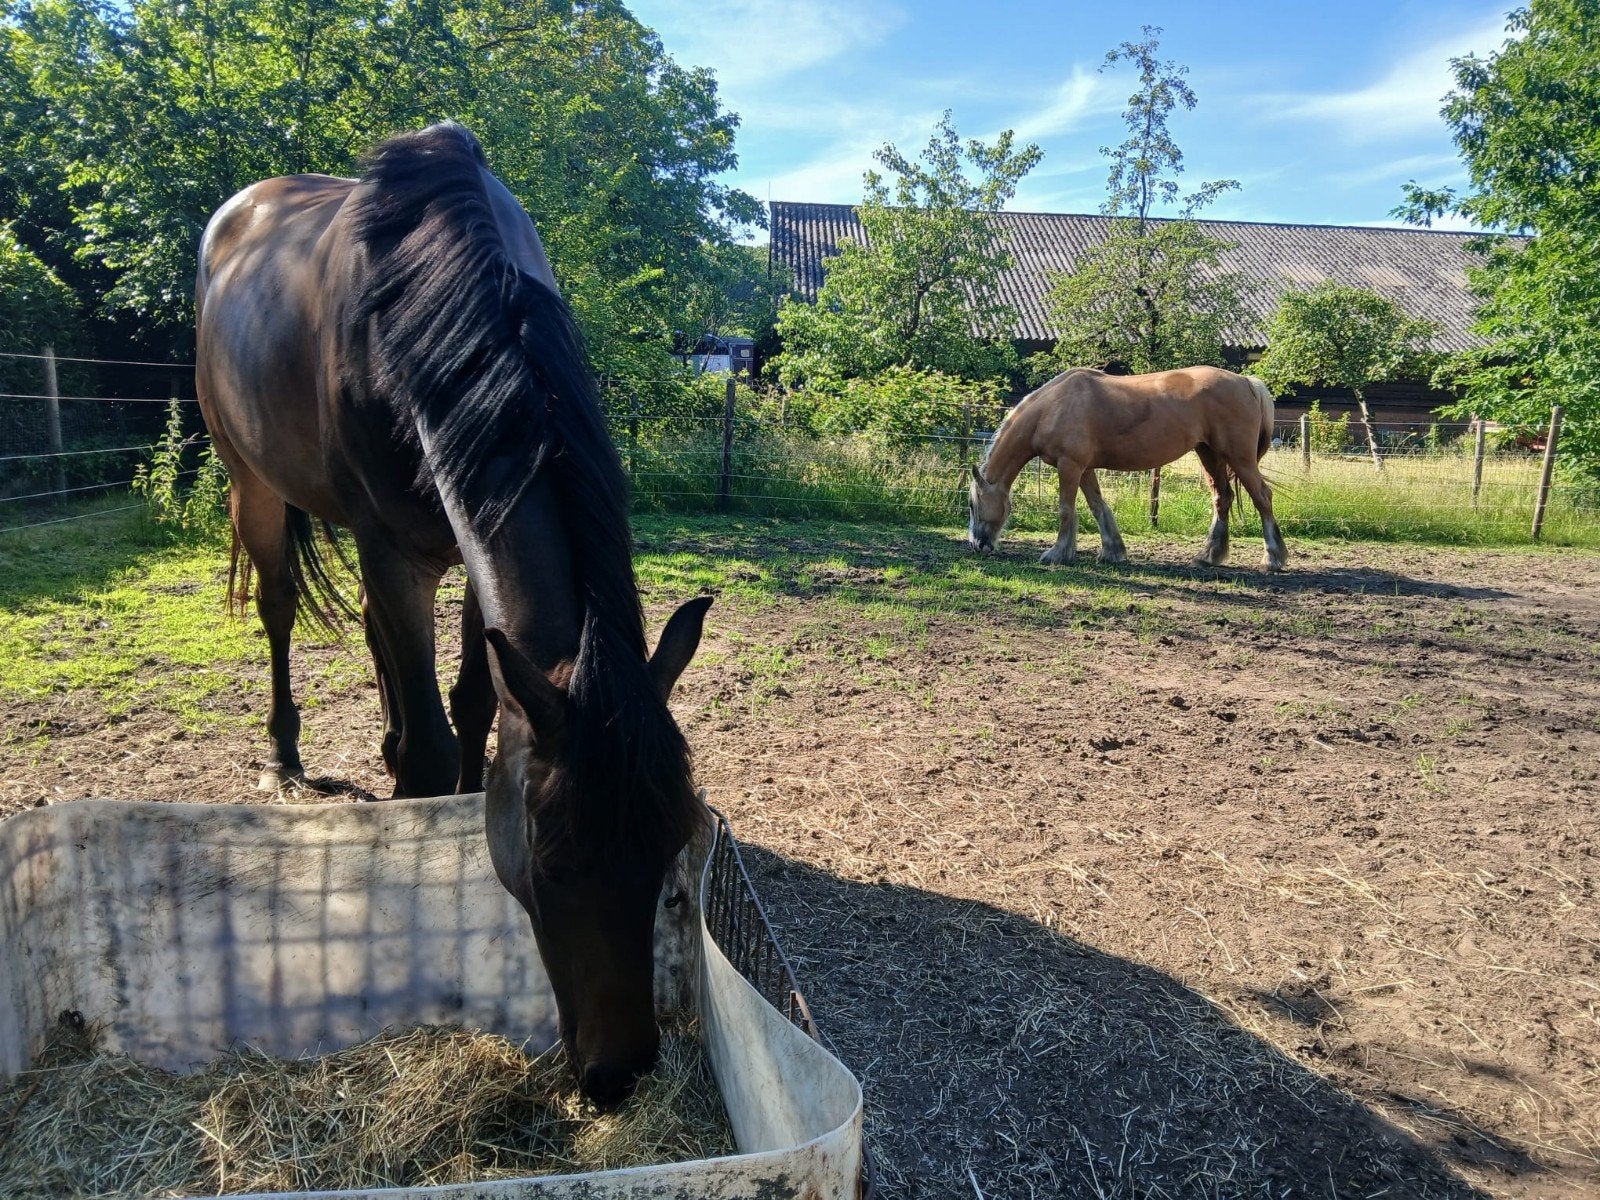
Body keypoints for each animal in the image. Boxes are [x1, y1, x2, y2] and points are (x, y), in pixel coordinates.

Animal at [195, 122, 710, 1105]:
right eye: (548, 864)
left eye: (672, 846)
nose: (618, 1074)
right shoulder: (392, 548)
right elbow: (435, 744)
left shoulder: (475, 544)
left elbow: (474, 701)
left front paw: (461, 786)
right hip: (254, 483)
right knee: (280, 608)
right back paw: (286, 754)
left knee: (375, 636)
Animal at [967, 366, 1288, 571]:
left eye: (972, 504)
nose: (977, 544)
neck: (1052, 408)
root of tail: (1247, 381)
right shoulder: (1084, 469)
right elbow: (1098, 506)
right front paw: (1112, 551)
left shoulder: (1069, 466)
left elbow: (1065, 509)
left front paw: (1057, 553)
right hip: (1209, 454)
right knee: (1222, 499)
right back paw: (1208, 555)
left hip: (1239, 458)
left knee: (1262, 497)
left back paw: (1273, 558)